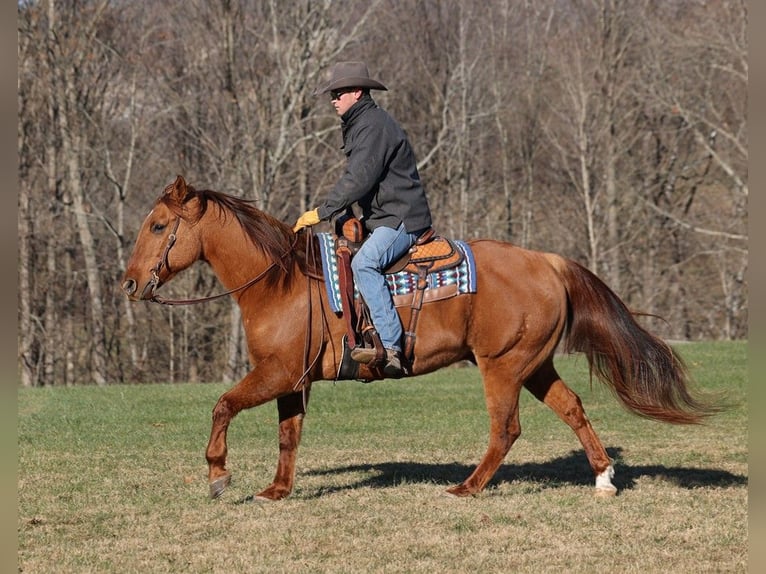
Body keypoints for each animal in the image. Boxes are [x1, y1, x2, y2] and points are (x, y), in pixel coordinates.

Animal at [121, 177, 720, 504]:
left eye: (158, 226)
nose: (129, 284)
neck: (280, 281)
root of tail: (549, 261)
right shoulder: (291, 378)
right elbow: (289, 436)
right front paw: (276, 491)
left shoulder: (274, 374)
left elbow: (223, 406)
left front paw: (218, 476)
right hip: (533, 364)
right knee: (572, 408)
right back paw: (603, 479)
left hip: (501, 366)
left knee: (506, 428)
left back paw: (468, 488)